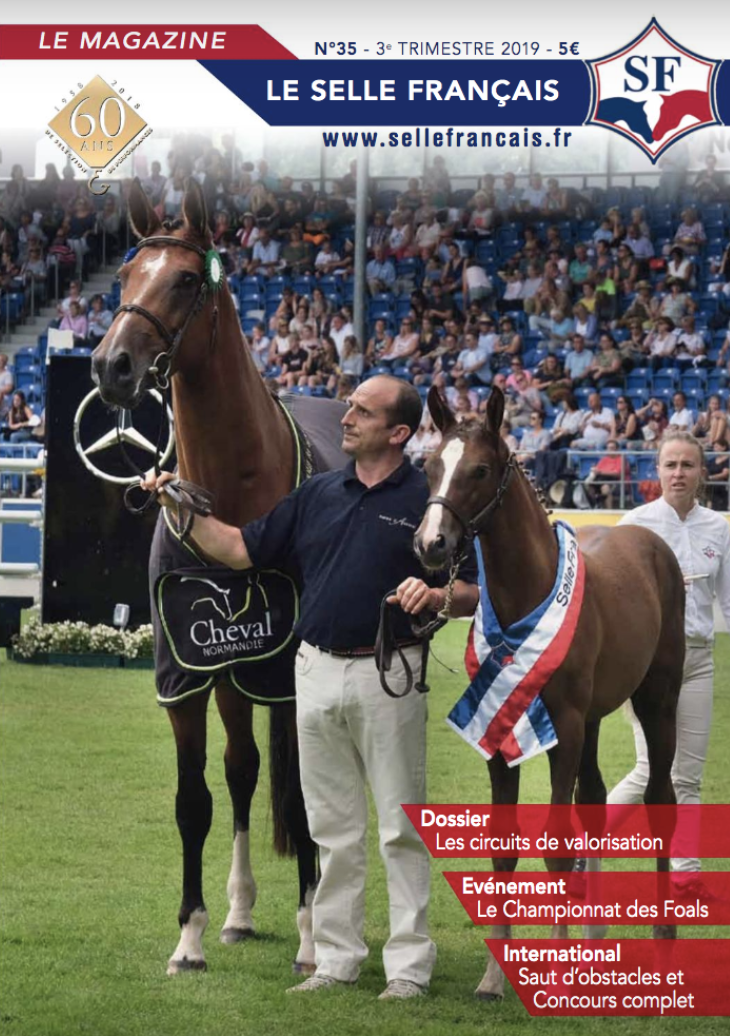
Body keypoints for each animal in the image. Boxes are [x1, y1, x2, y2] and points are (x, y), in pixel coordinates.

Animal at [90, 180, 343, 977]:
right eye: (124, 274)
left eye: (184, 279)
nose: (110, 365)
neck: (232, 498)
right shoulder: (186, 672)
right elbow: (195, 800)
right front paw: (191, 937)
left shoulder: (288, 674)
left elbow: (301, 804)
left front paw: (310, 939)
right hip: (233, 678)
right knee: (242, 769)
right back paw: (237, 913)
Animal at [416, 385, 683, 998]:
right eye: (430, 466)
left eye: (479, 470)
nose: (431, 544)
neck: (529, 593)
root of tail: (649, 540)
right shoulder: (496, 730)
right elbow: (505, 847)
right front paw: (494, 976)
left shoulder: (563, 725)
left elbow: (557, 843)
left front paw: (559, 972)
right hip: (595, 720)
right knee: (595, 800)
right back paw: (594, 937)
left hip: (656, 702)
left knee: (660, 801)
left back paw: (662, 938)